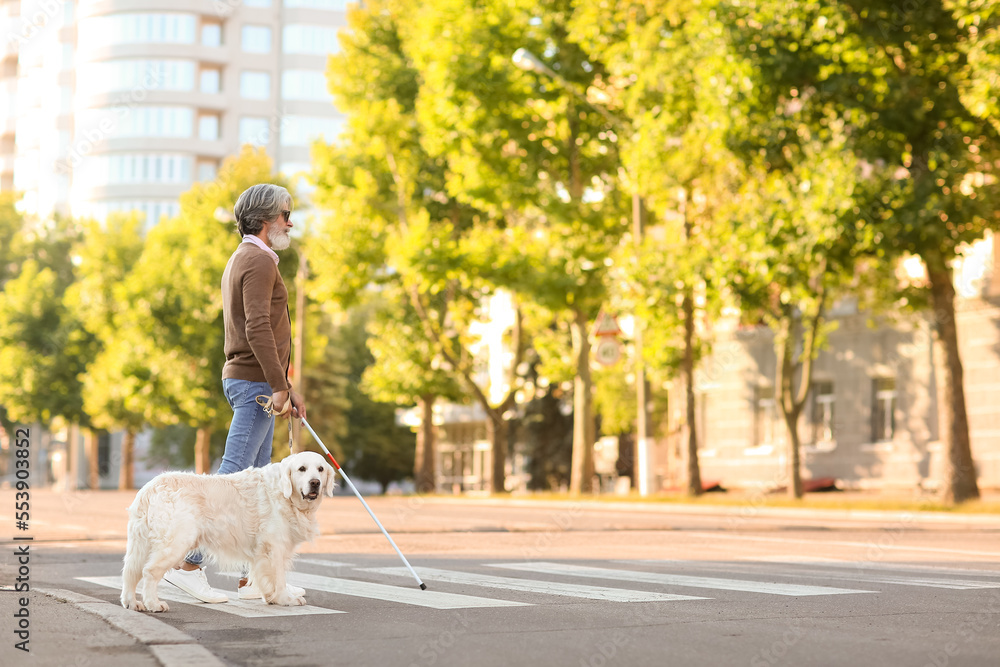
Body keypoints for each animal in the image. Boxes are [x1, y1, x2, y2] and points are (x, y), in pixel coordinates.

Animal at [119, 452, 338, 612]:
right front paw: (285, 599)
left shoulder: (262, 552)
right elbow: (279, 577)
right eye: (302, 469)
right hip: (176, 542)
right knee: (149, 572)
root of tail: (151, 487)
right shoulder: (274, 547)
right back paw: (154, 604)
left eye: (320, 469)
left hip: (142, 543)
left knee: (130, 571)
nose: (315, 483)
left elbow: (265, 577)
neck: (285, 495)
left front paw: (271, 597)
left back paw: (131, 602)